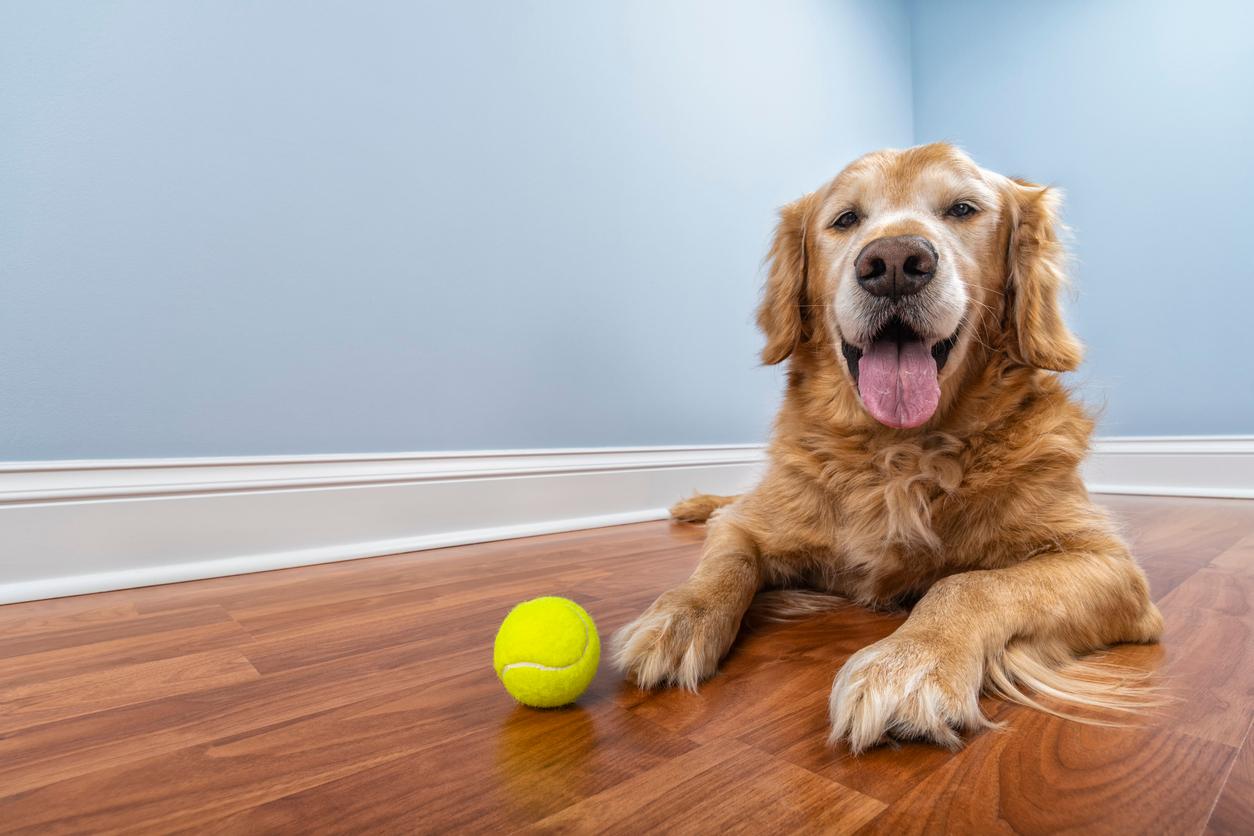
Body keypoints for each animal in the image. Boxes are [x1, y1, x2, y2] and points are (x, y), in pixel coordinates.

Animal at [611, 142, 1158, 752]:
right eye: (846, 219)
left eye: (962, 209)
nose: (894, 262)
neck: (898, 452)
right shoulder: (753, 525)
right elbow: (724, 562)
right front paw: (678, 617)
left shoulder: (1110, 566)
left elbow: (968, 584)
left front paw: (912, 660)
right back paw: (694, 507)